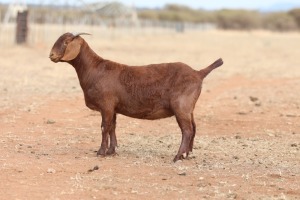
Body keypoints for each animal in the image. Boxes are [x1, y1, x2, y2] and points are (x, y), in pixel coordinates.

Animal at [49, 32, 223, 162]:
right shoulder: (113, 107)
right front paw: (112, 151)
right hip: (189, 108)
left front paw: (101, 152)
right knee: (193, 127)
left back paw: (178, 156)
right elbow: (112, 127)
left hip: (181, 106)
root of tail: (198, 73)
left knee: (186, 130)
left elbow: (104, 127)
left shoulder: (106, 104)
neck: (95, 69)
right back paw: (188, 154)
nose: (51, 55)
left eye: (66, 42)